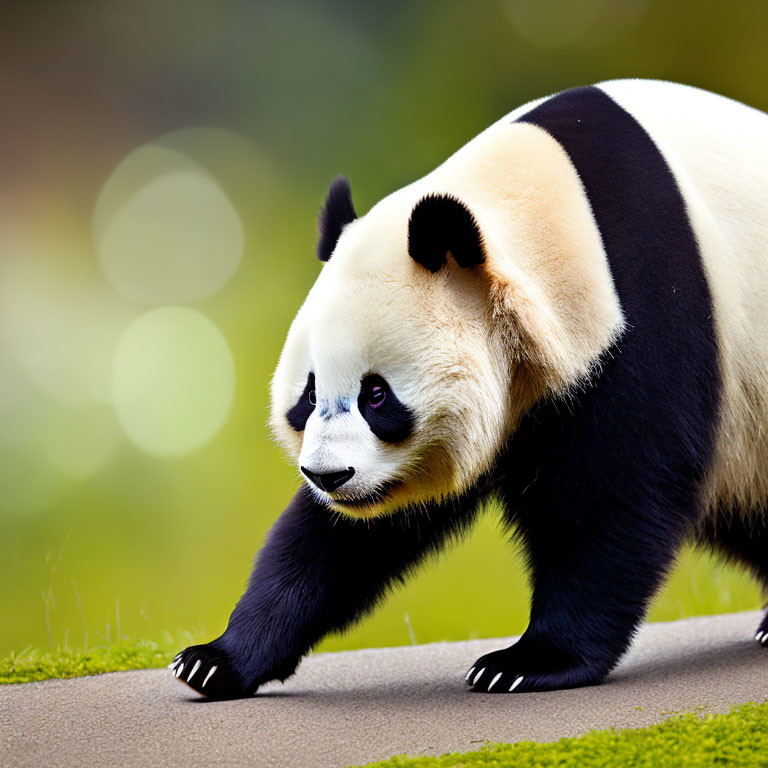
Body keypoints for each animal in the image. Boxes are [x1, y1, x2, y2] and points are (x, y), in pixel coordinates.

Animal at [171, 81, 768, 700]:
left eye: (376, 395)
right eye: (308, 397)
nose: (328, 475)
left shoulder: (641, 313)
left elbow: (614, 494)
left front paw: (527, 661)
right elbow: (338, 541)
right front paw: (216, 660)